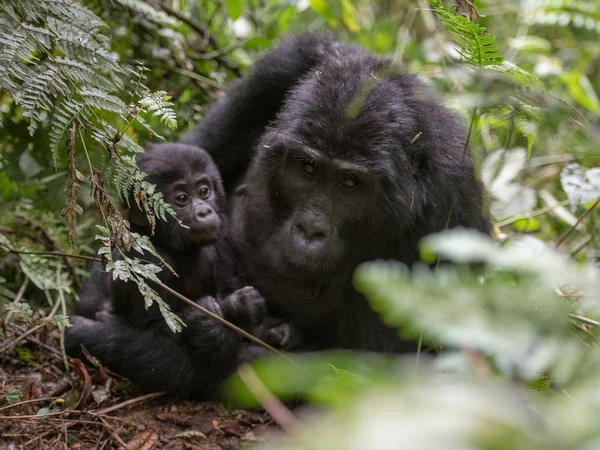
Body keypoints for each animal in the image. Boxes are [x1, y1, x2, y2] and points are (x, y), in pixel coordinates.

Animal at [65, 143, 282, 398]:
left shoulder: (223, 240)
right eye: (181, 199)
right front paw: (212, 323)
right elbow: (154, 333)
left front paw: (238, 307)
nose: (204, 212)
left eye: (204, 191)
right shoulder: (141, 257)